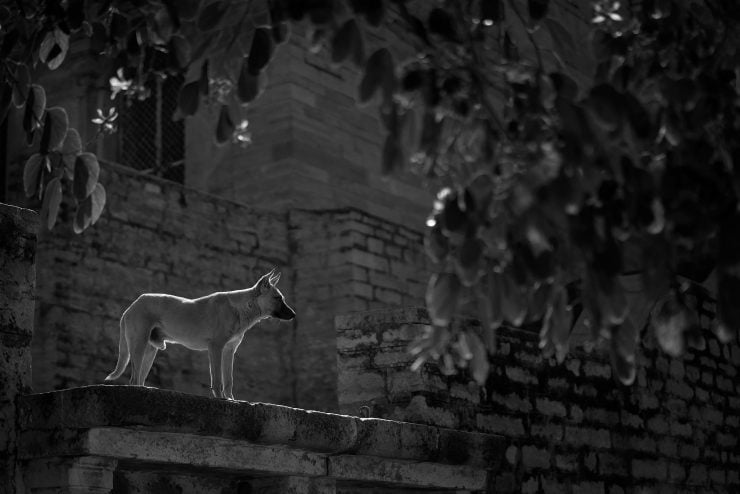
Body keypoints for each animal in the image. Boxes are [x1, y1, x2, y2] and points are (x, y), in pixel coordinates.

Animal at [106, 268, 294, 400]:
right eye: (278, 298)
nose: (294, 315)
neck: (241, 308)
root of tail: (132, 306)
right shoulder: (216, 348)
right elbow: (217, 380)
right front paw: (221, 399)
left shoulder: (229, 352)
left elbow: (229, 380)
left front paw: (231, 399)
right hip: (139, 345)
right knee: (133, 379)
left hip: (151, 350)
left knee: (139, 378)